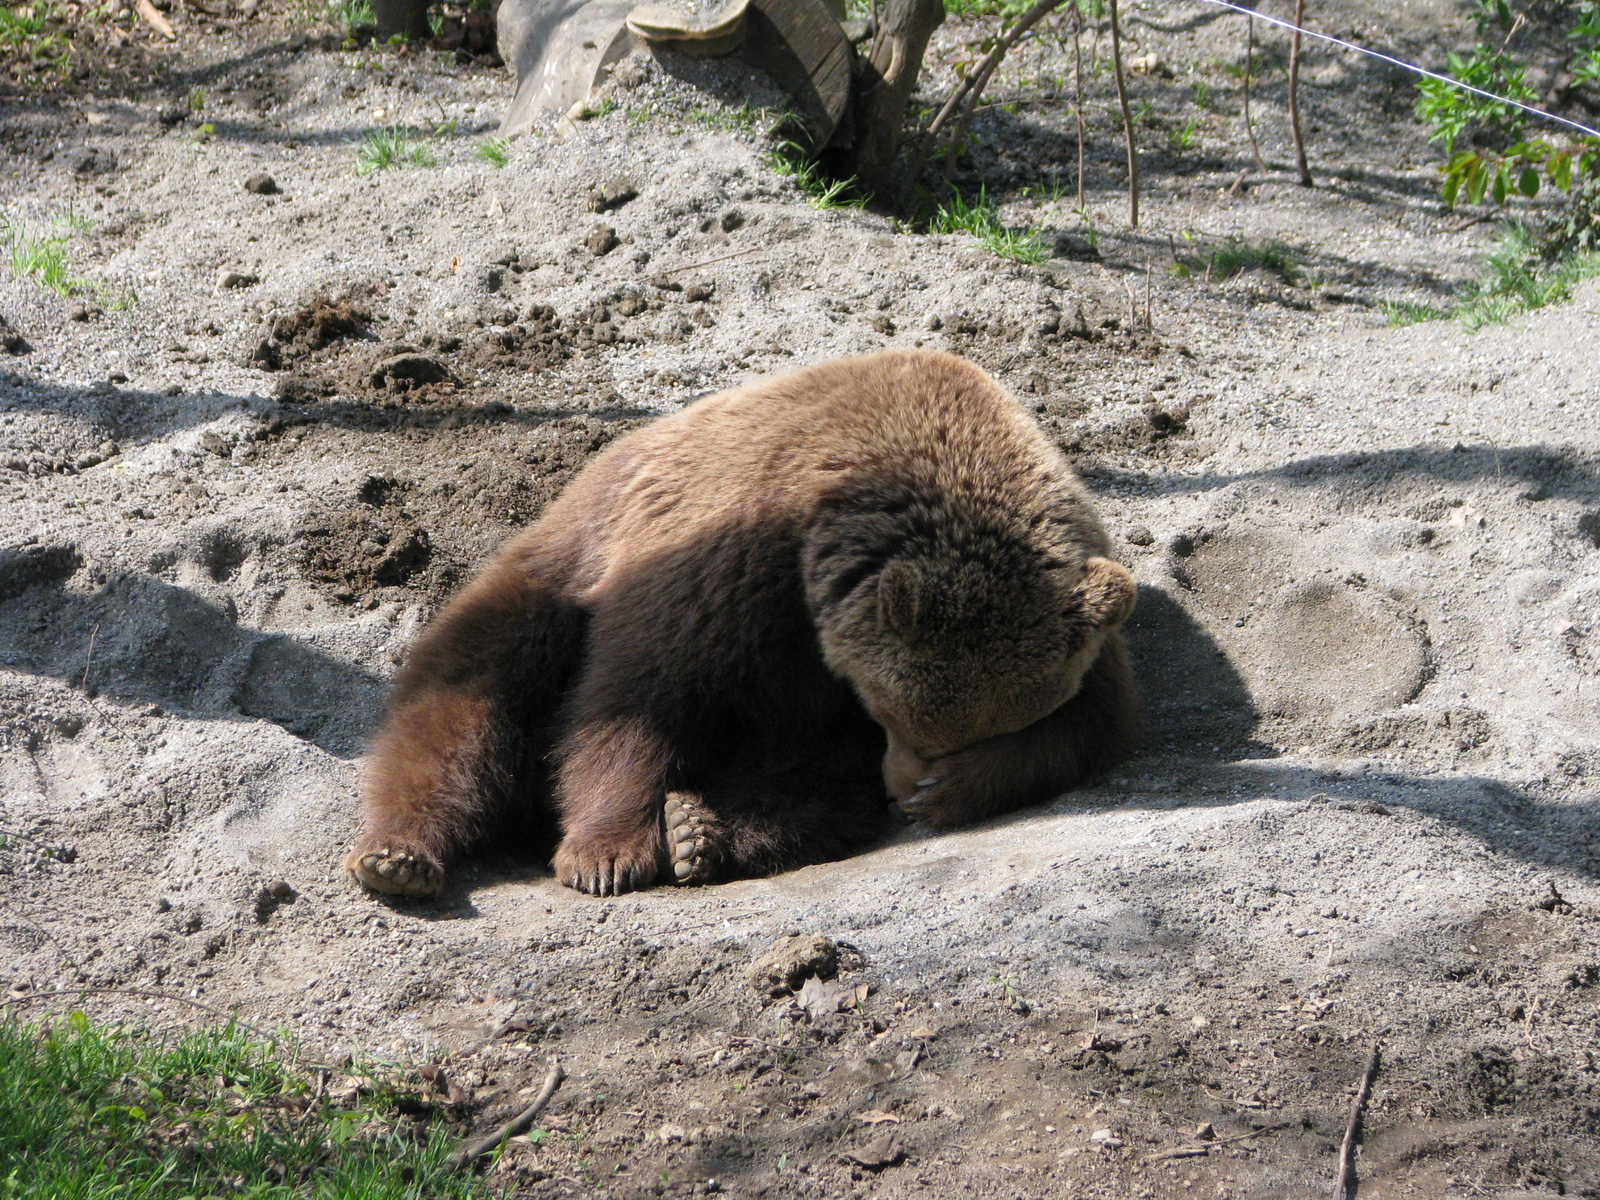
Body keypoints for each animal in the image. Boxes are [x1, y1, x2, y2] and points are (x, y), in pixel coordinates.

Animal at [345, 345, 1145, 896]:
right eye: (893, 716)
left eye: (976, 732)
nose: (904, 789)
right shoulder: (730, 556)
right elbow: (639, 695)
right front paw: (605, 853)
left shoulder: (1087, 612)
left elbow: (1090, 726)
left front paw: (956, 787)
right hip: (559, 572)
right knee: (465, 697)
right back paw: (398, 853)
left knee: (812, 785)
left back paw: (704, 834)